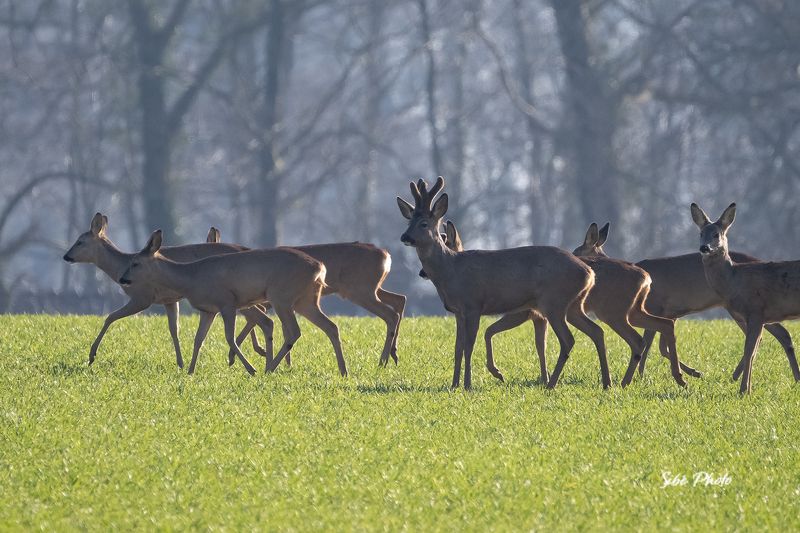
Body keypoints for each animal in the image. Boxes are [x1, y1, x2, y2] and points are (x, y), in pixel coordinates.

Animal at [63, 213, 275, 368]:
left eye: (80, 241)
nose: (66, 256)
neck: (120, 266)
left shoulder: (142, 297)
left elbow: (109, 317)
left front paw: (91, 355)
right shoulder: (169, 300)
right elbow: (174, 330)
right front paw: (180, 363)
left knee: (261, 314)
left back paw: (246, 354)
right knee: (260, 313)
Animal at [119, 230, 347, 376]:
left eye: (135, 263)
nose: (122, 279)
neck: (191, 278)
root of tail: (319, 268)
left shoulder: (227, 302)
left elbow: (229, 338)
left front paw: (250, 369)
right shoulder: (208, 310)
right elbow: (198, 339)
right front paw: (191, 371)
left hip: (281, 296)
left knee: (294, 331)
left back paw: (269, 368)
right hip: (306, 300)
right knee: (331, 326)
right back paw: (343, 370)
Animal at [206, 227, 406, 368]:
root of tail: (386, 256)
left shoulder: (271, 301)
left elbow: (259, 322)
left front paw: (240, 355)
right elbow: (274, 327)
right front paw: (285, 363)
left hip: (360, 290)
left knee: (390, 314)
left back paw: (382, 361)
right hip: (372, 288)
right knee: (399, 299)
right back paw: (393, 355)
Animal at [398, 177, 610, 390]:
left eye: (424, 223)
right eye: (409, 221)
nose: (404, 237)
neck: (451, 271)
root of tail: (589, 272)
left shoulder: (473, 304)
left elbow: (468, 346)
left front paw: (468, 385)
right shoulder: (458, 311)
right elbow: (457, 348)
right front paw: (454, 385)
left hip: (554, 301)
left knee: (568, 340)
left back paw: (551, 385)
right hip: (574, 304)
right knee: (597, 331)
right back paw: (606, 383)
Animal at [691, 202, 800, 393]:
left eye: (716, 234)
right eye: (700, 233)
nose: (704, 248)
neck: (734, 280)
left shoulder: (756, 311)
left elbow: (749, 351)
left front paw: (743, 391)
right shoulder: (750, 317)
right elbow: (753, 350)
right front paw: (746, 388)